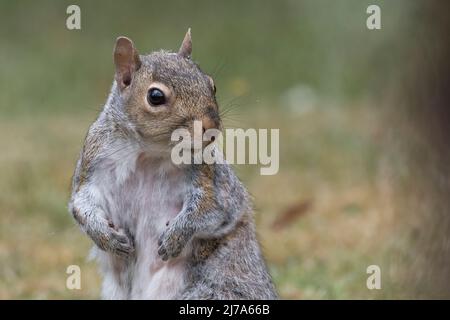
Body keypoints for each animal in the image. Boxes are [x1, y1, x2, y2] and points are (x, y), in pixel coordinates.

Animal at [68, 30, 276, 300]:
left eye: (212, 85)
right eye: (155, 97)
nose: (211, 126)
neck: (149, 153)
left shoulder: (210, 179)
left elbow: (211, 209)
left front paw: (176, 237)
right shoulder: (92, 165)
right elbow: (81, 204)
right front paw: (106, 237)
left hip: (217, 287)